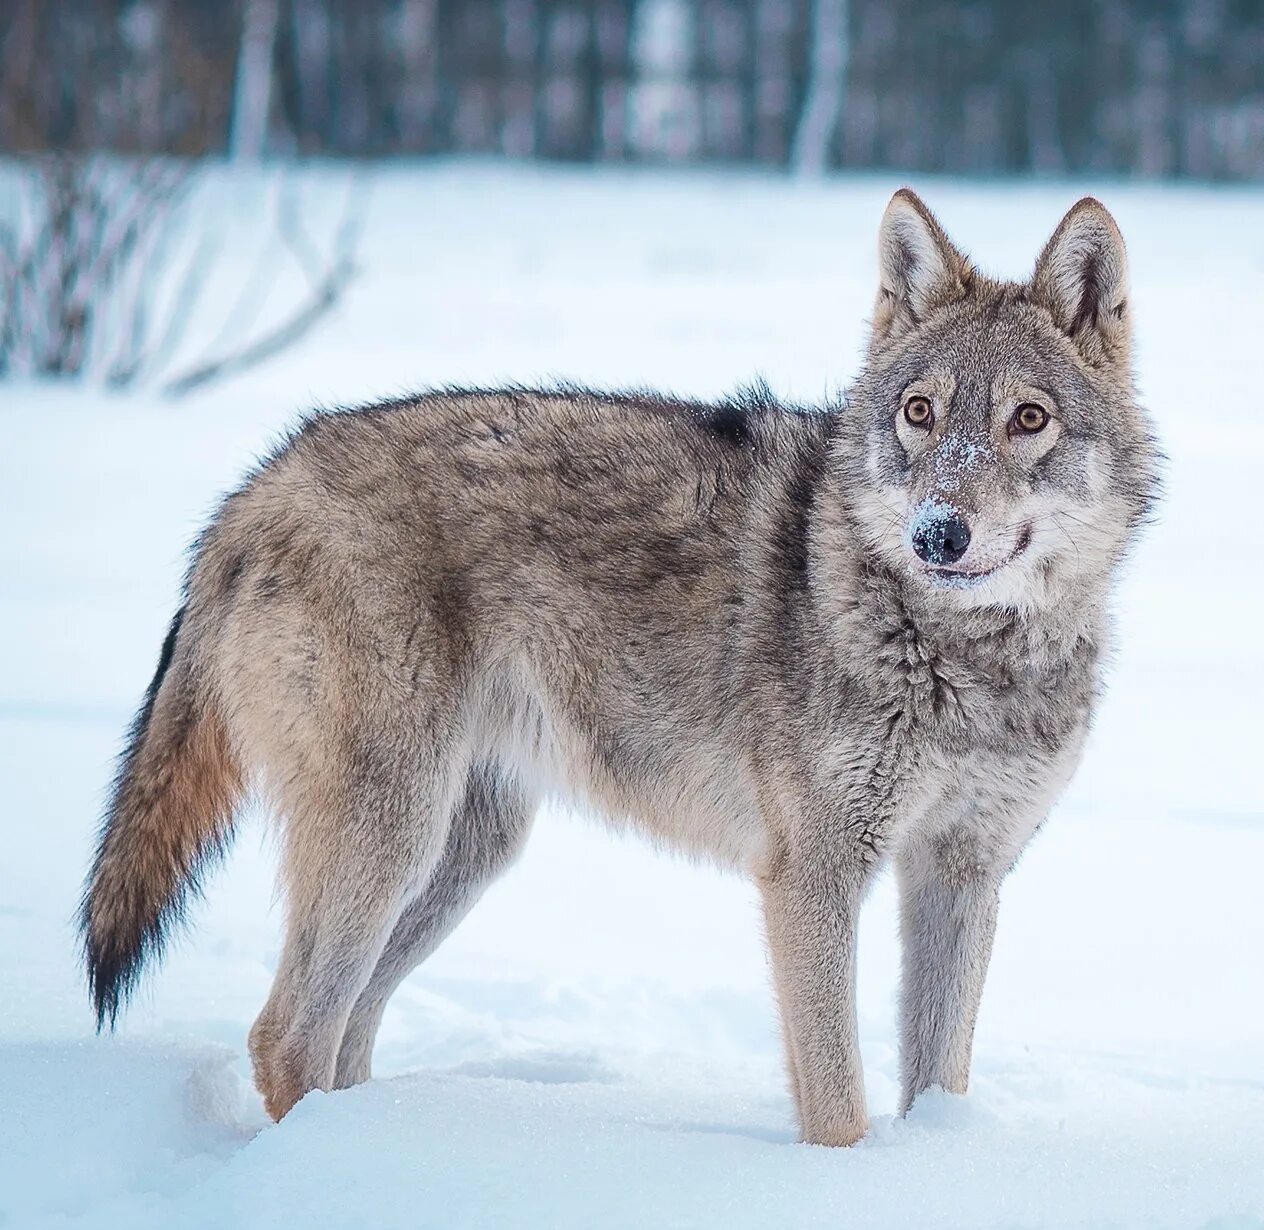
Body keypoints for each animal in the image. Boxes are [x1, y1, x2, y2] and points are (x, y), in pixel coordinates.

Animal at [81, 189, 1157, 1142]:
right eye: (920, 413)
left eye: (1028, 419)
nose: (938, 533)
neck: (967, 658)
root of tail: (259, 483)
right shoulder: (811, 875)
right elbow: (840, 1110)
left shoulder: (962, 874)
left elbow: (938, 1080)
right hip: (395, 835)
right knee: (286, 1036)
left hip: (462, 853)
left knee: (344, 1031)